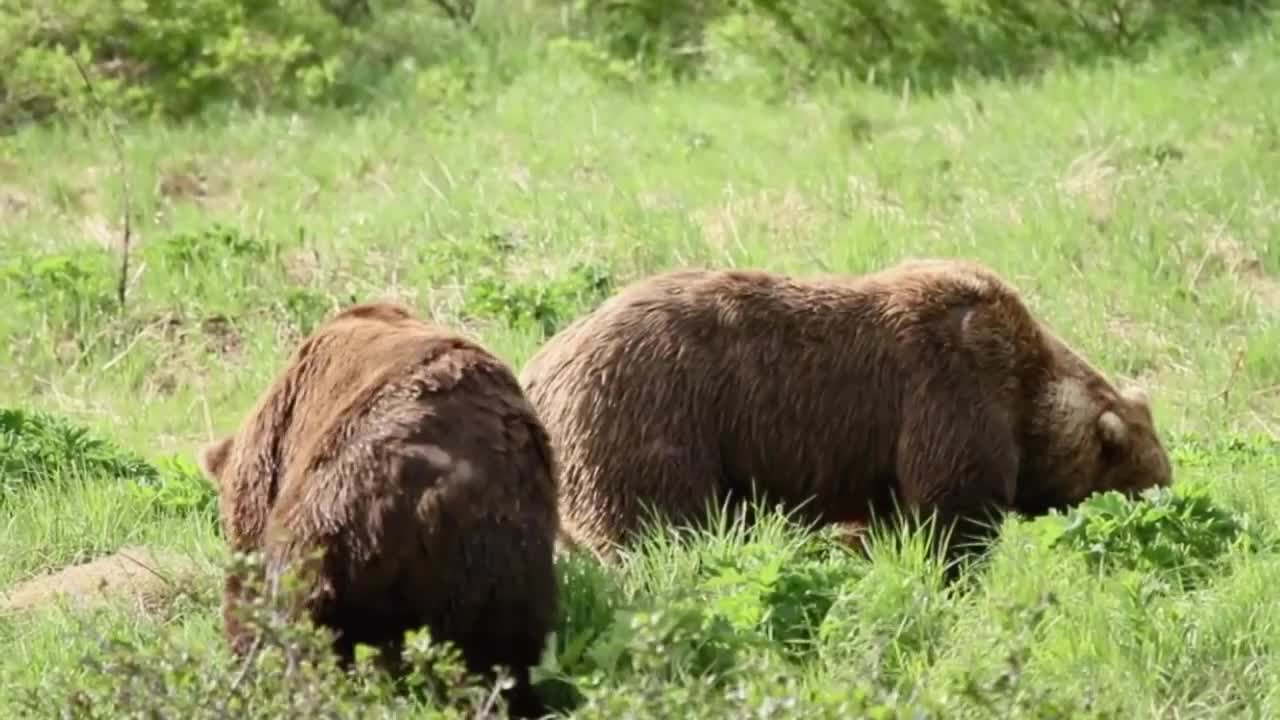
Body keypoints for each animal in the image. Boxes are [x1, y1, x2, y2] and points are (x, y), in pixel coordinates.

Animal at [517, 254, 1172, 563]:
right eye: (1149, 485)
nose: (1168, 495)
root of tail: (536, 371)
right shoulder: (949, 390)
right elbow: (955, 511)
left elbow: (878, 523)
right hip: (641, 417)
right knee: (656, 531)